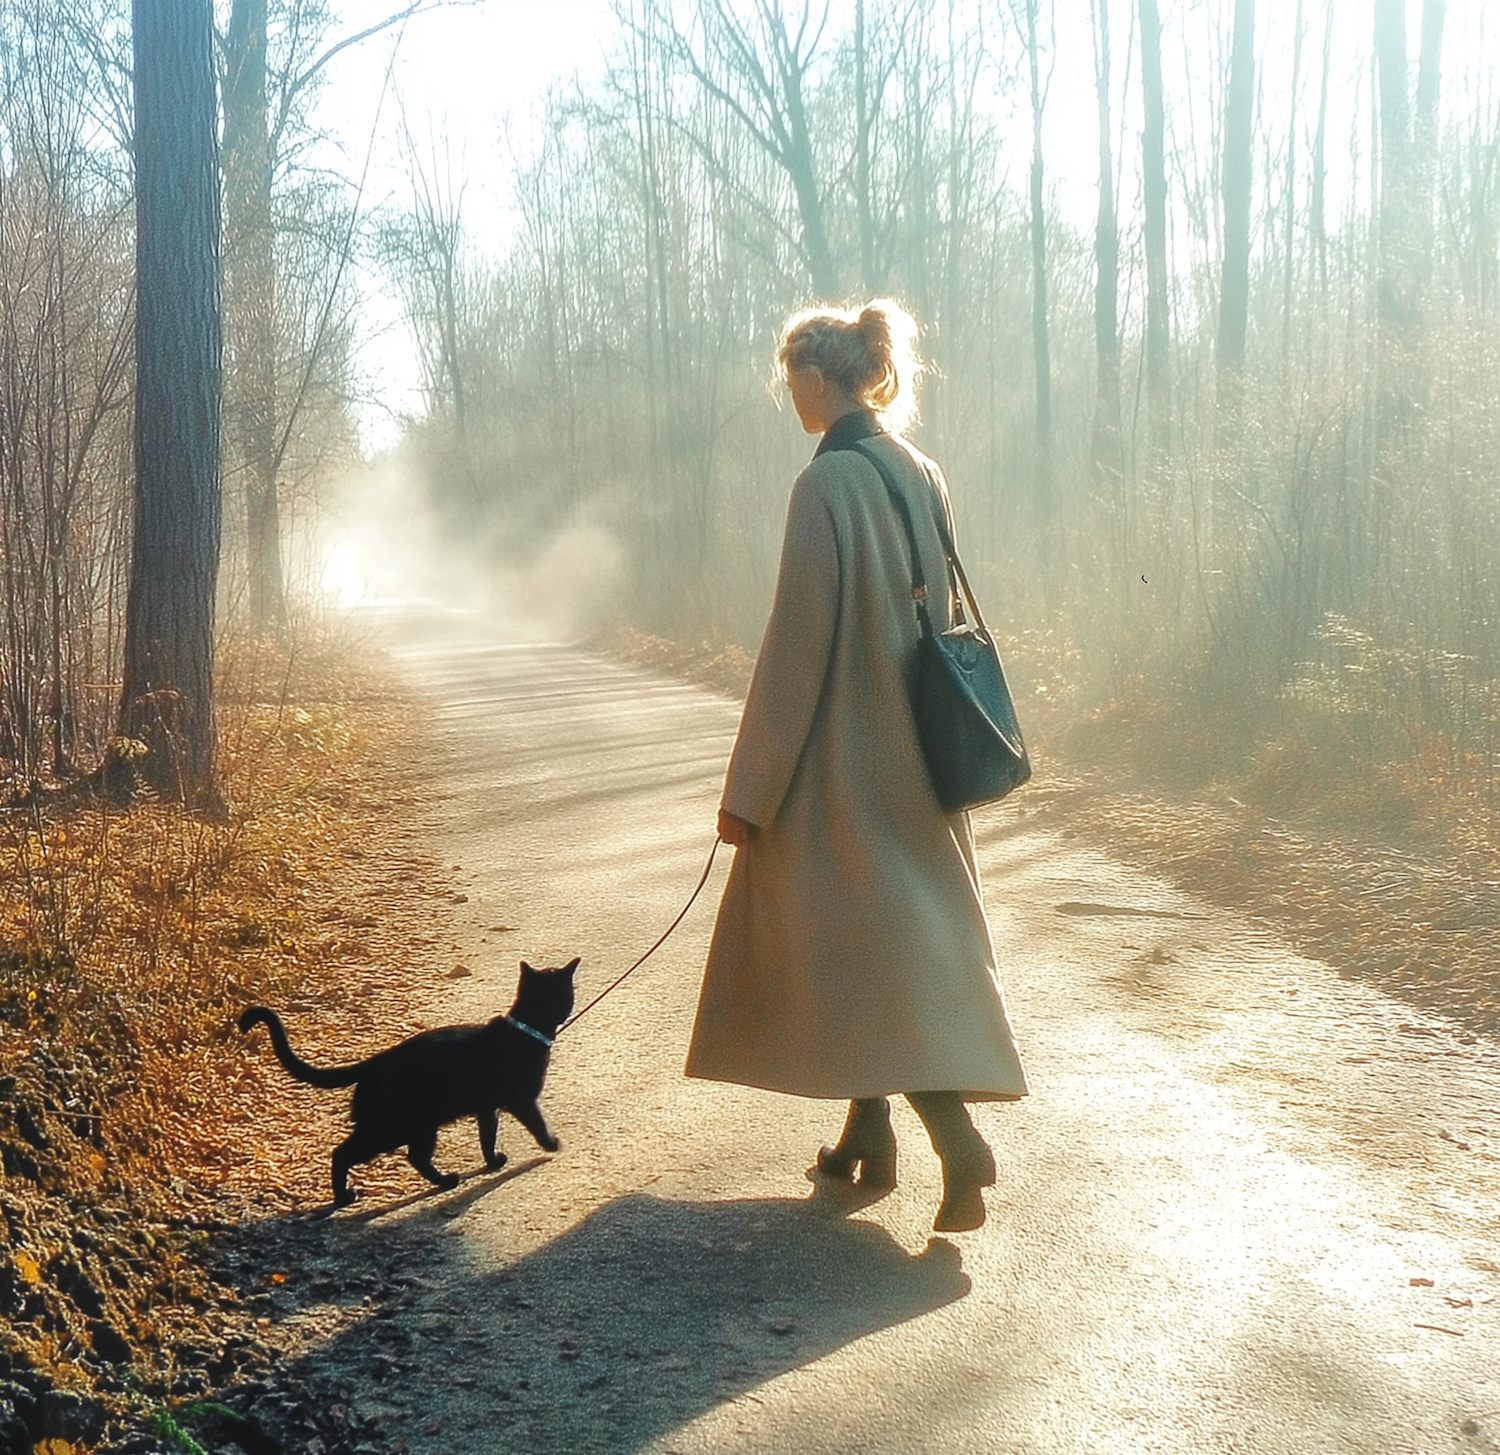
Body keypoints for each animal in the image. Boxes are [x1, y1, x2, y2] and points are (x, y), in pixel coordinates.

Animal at [240, 954, 579, 1200]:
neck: (524, 1029)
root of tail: (373, 1062)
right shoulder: (522, 1100)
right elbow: (537, 1123)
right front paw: (551, 1144)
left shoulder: (487, 1108)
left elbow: (487, 1136)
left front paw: (493, 1161)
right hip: (397, 1127)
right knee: (351, 1153)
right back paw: (348, 1196)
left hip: (414, 1127)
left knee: (413, 1157)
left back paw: (442, 1181)